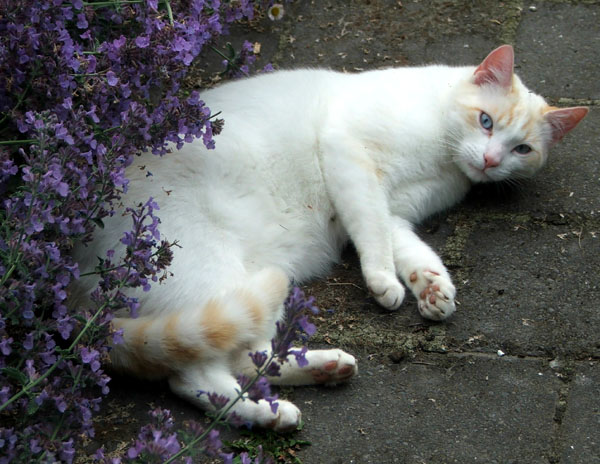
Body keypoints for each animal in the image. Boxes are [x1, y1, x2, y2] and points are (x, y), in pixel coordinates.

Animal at [74, 45, 584, 430]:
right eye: (486, 121)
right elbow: (372, 232)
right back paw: (273, 410)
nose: (492, 161)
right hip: (213, 273)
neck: (443, 154)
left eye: (523, 149)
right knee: (198, 374)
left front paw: (433, 288)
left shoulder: (397, 211)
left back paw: (311, 379)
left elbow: (409, 248)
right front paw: (385, 283)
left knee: (242, 360)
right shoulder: (349, 157)